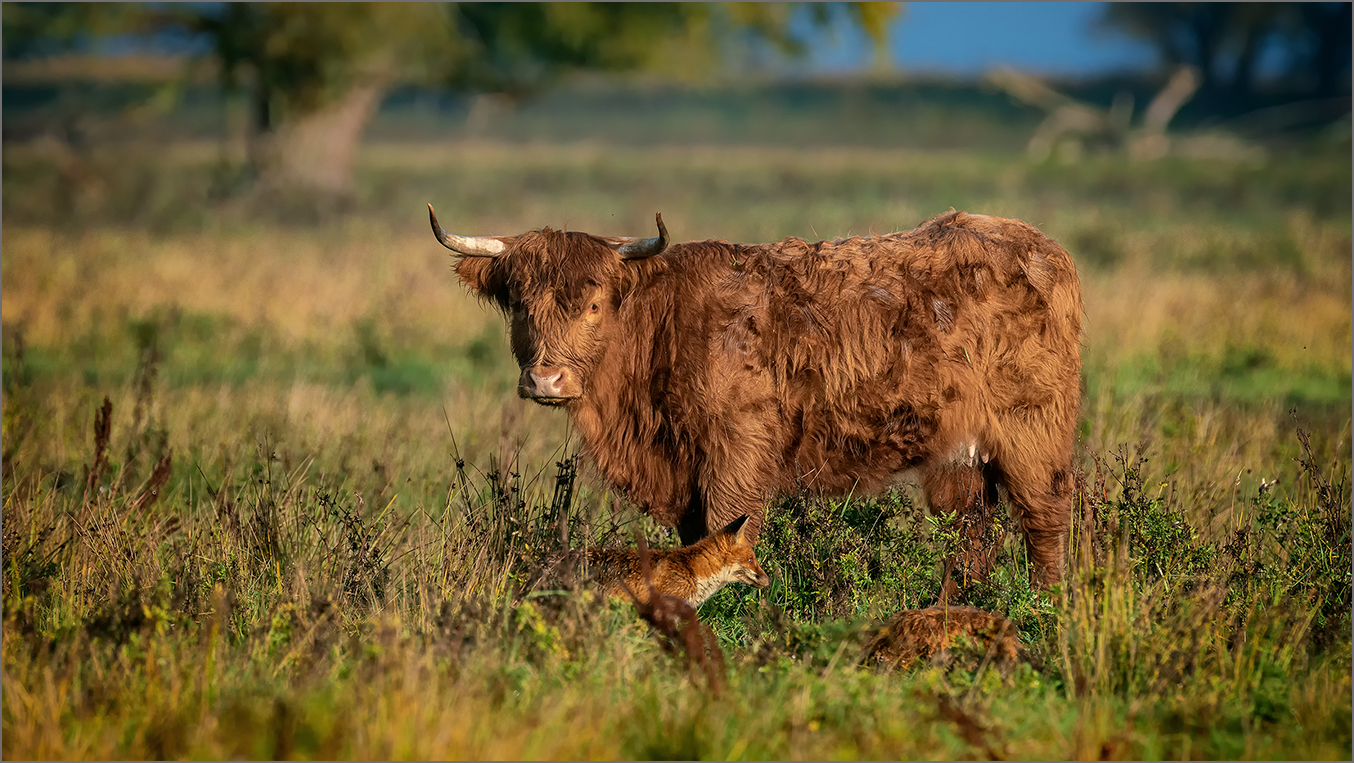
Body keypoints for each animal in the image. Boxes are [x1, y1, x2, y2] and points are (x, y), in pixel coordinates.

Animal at [427, 205, 1083, 587]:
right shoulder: (684, 473)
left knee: (1044, 520)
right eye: (520, 305)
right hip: (960, 456)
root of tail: (1041, 245)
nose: (546, 380)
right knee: (969, 532)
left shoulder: (736, 451)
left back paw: (1044, 606)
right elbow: (695, 540)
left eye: (592, 305)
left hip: (1033, 432)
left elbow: (727, 529)